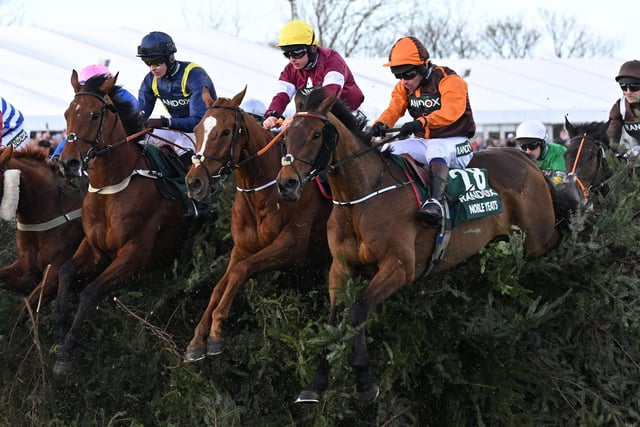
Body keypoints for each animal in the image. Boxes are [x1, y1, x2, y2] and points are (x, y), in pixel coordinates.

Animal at [54, 72, 190, 376]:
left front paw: (67, 350)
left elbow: (90, 291)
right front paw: (60, 322)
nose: (68, 163)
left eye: (94, 115)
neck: (112, 187)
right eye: (67, 113)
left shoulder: (134, 255)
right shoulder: (94, 247)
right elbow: (65, 272)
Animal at [180, 86, 330, 362]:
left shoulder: (291, 248)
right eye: (197, 129)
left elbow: (240, 271)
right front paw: (197, 340)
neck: (264, 193)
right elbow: (220, 285)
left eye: (226, 132)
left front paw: (215, 334)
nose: (194, 183)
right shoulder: (241, 248)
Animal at [276, 88, 560, 404]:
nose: (286, 185)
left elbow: (359, 309)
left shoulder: (400, 266)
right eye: (286, 136)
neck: (362, 196)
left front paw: (364, 380)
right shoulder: (340, 267)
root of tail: (524, 159)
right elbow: (334, 319)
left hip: (538, 238)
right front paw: (315, 385)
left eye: (315, 135)